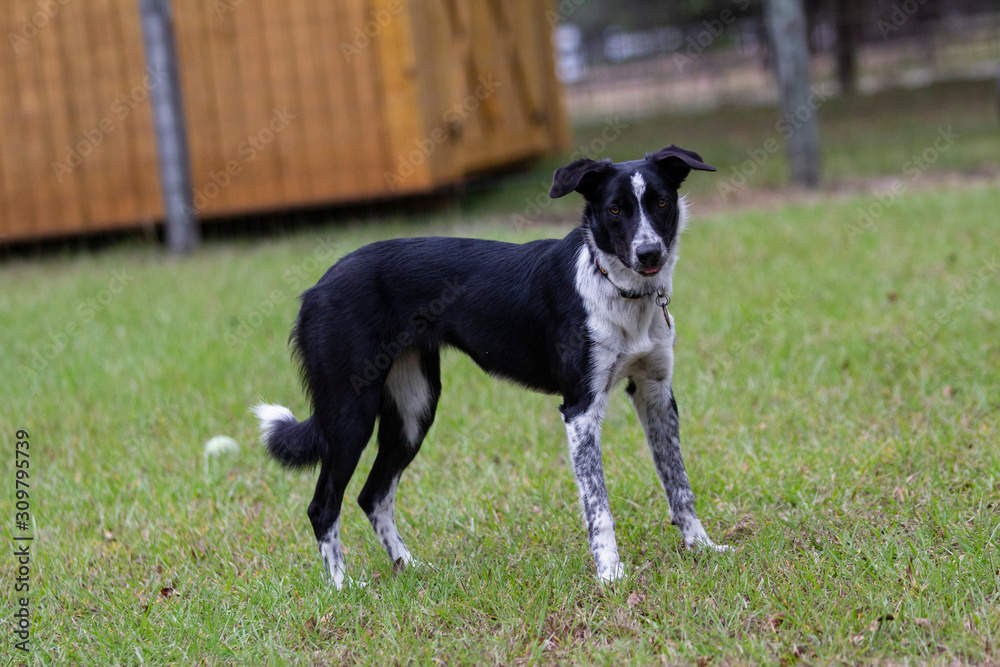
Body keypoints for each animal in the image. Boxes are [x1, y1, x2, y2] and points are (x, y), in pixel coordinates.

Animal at [256, 147, 728, 588]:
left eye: (661, 202)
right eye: (615, 209)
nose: (649, 254)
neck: (618, 289)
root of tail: (316, 288)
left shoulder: (655, 393)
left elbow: (679, 484)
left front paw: (702, 547)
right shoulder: (580, 409)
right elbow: (599, 507)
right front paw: (610, 574)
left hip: (414, 410)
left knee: (373, 495)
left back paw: (409, 566)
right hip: (349, 414)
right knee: (323, 506)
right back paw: (343, 587)